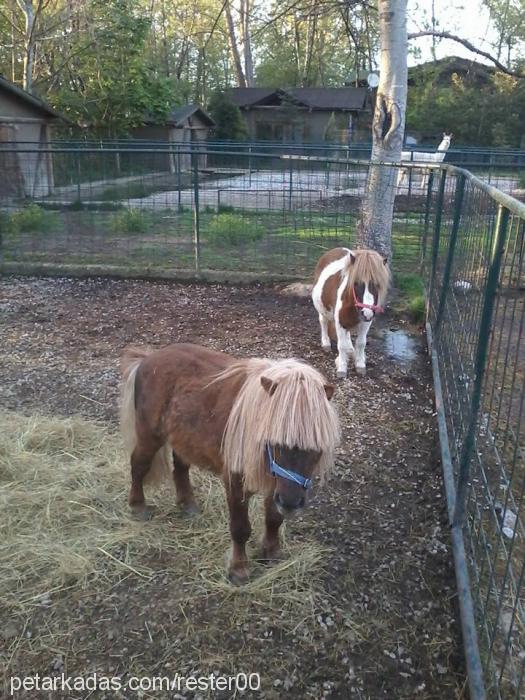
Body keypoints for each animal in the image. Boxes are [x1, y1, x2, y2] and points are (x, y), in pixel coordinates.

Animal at [119, 344, 340, 584]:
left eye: (317, 447)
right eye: (273, 441)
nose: (291, 503)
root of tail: (148, 358)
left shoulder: (275, 483)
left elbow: (274, 519)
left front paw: (271, 553)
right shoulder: (236, 481)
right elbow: (240, 528)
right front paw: (239, 570)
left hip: (182, 437)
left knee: (180, 468)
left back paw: (187, 505)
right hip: (150, 436)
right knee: (138, 465)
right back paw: (138, 507)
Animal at [312, 246, 388, 378]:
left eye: (377, 284)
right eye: (356, 283)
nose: (367, 313)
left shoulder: (365, 323)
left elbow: (361, 343)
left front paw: (360, 364)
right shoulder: (339, 322)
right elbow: (341, 346)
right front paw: (342, 368)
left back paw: (351, 350)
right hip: (322, 310)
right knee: (323, 322)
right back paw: (326, 343)